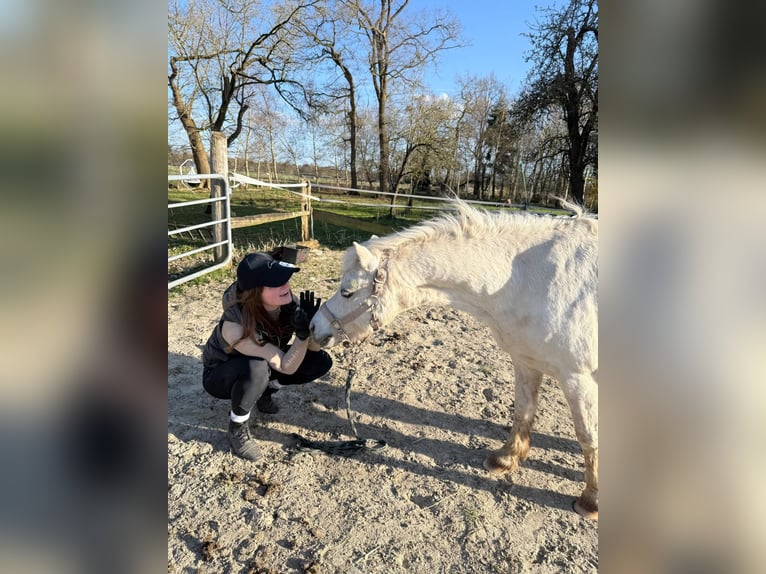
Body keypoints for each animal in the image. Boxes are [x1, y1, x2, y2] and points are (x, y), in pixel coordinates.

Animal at [309, 201, 598, 520]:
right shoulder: (525, 361)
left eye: (347, 292)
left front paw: (591, 500)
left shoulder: (577, 378)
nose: (313, 327)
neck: (531, 277)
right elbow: (523, 412)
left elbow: (588, 437)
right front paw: (506, 459)